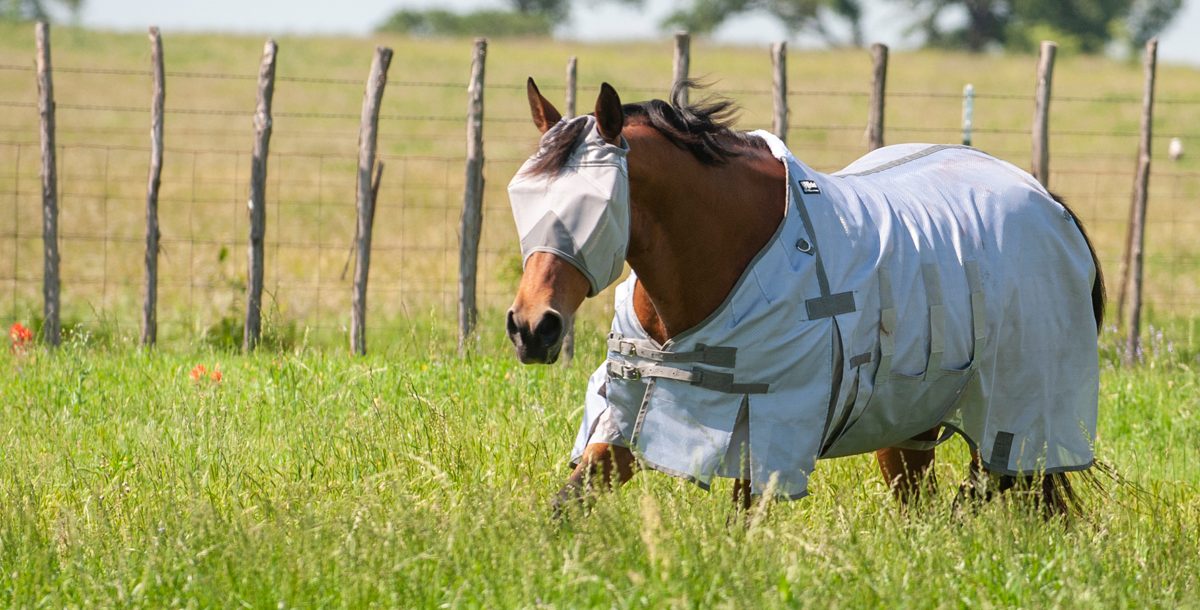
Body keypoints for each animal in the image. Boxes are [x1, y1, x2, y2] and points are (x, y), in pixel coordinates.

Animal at [505, 78, 1104, 516]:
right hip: (909, 424)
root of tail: (1049, 202)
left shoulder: (766, 438)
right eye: (522, 194)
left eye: (594, 203)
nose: (532, 328)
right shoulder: (630, 419)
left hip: (1018, 424)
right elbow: (565, 507)